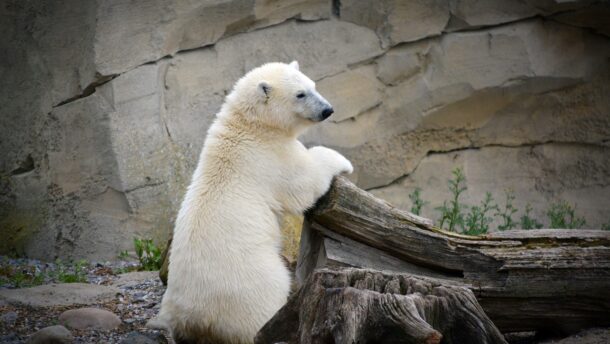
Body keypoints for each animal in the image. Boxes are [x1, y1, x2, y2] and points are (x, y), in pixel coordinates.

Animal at [152, 60, 352, 342]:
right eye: (300, 94)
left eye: (313, 85)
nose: (328, 109)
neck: (250, 127)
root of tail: (191, 317)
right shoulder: (270, 156)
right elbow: (304, 182)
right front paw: (342, 161)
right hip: (249, 282)